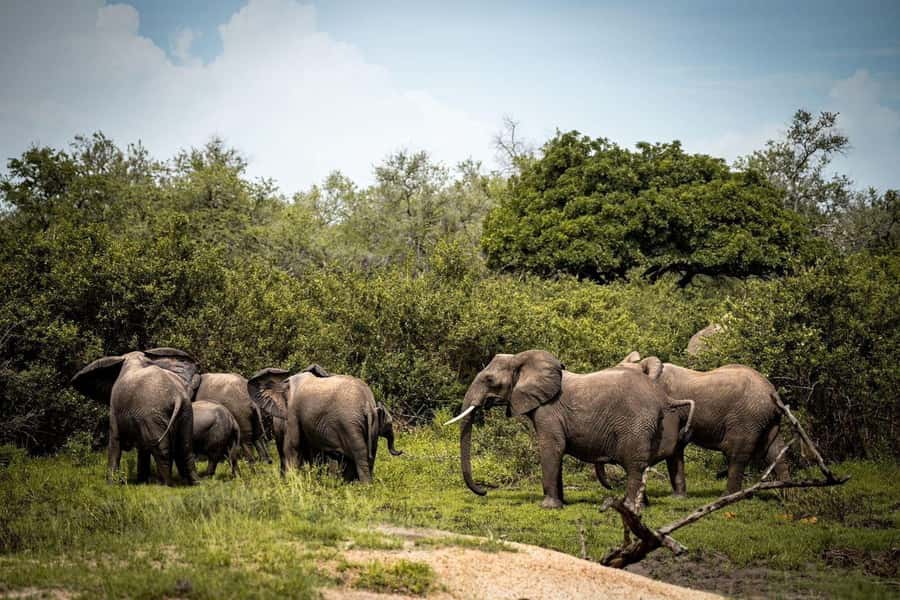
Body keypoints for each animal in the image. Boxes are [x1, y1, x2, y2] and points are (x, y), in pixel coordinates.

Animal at [70, 348, 201, 485]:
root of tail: (177, 396)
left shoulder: (116, 407)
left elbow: (115, 441)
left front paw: (111, 485)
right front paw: (142, 483)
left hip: (152, 413)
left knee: (161, 448)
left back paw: (166, 485)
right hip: (185, 412)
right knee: (185, 447)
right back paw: (195, 483)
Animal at [247, 365, 402, 482]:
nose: (400, 452)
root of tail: (367, 404)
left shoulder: (293, 412)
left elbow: (292, 446)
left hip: (349, 424)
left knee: (359, 455)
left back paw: (364, 487)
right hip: (369, 425)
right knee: (368, 456)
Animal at [448, 350, 694, 510]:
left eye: (489, 379)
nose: (484, 491)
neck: (523, 360)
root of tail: (662, 397)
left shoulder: (549, 411)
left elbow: (552, 448)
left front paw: (548, 507)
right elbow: (556, 453)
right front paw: (562, 503)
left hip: (637, 424)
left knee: (634, 466)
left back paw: (630, 507)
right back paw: (642, 506)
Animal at [617, 352, 789, 494]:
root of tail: (773, 392)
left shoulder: (668, 407)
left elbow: (670, 445)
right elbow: (676, 449)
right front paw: (679, 497)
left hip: (747, 418)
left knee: (736, 455)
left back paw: (728, 496)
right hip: (767, 420)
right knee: (775, 451)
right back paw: (787, 495)